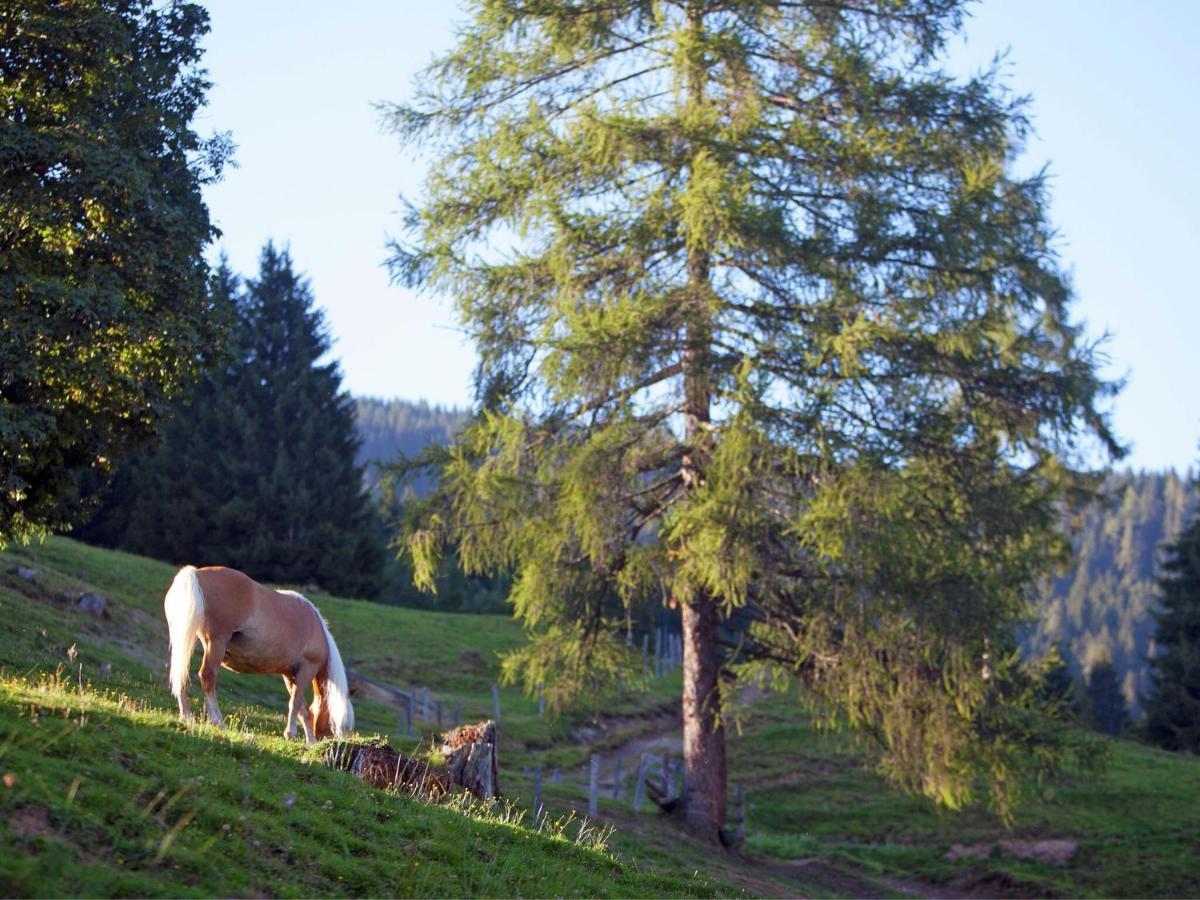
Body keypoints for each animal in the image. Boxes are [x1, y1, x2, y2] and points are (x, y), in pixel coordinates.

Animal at [164, 566, 352, 744]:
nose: (332, 740)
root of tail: (196, 573)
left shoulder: (290, 675)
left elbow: (302, 708)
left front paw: (309, 741)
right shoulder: (306, 670)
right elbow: (296, 703)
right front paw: (294, 735)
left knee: (181, 675)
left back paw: (187, 716)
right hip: (216, 643)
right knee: (207, 677)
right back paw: (218, 721)